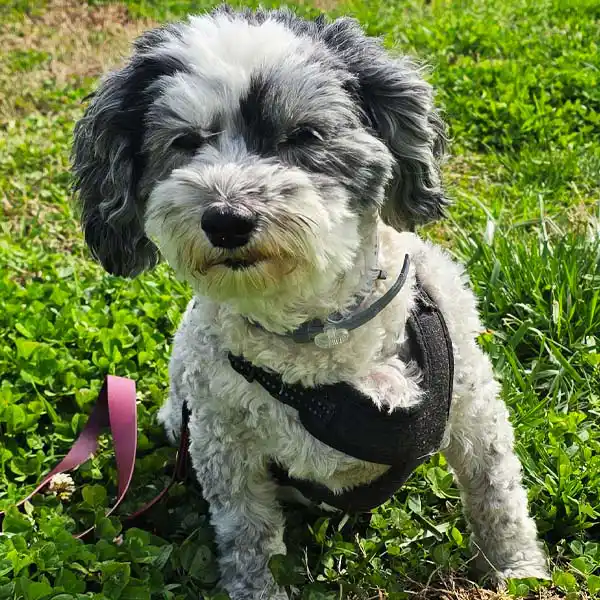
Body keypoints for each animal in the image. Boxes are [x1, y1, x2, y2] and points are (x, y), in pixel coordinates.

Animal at [71, 6, 548, 599]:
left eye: (304, 134)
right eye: (184, 142)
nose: (225, 220)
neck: (318, 333)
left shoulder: (475, 408)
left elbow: (497, 496)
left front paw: (518, 571)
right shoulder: (224, 447)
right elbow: (249, 537)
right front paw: (259, 589)